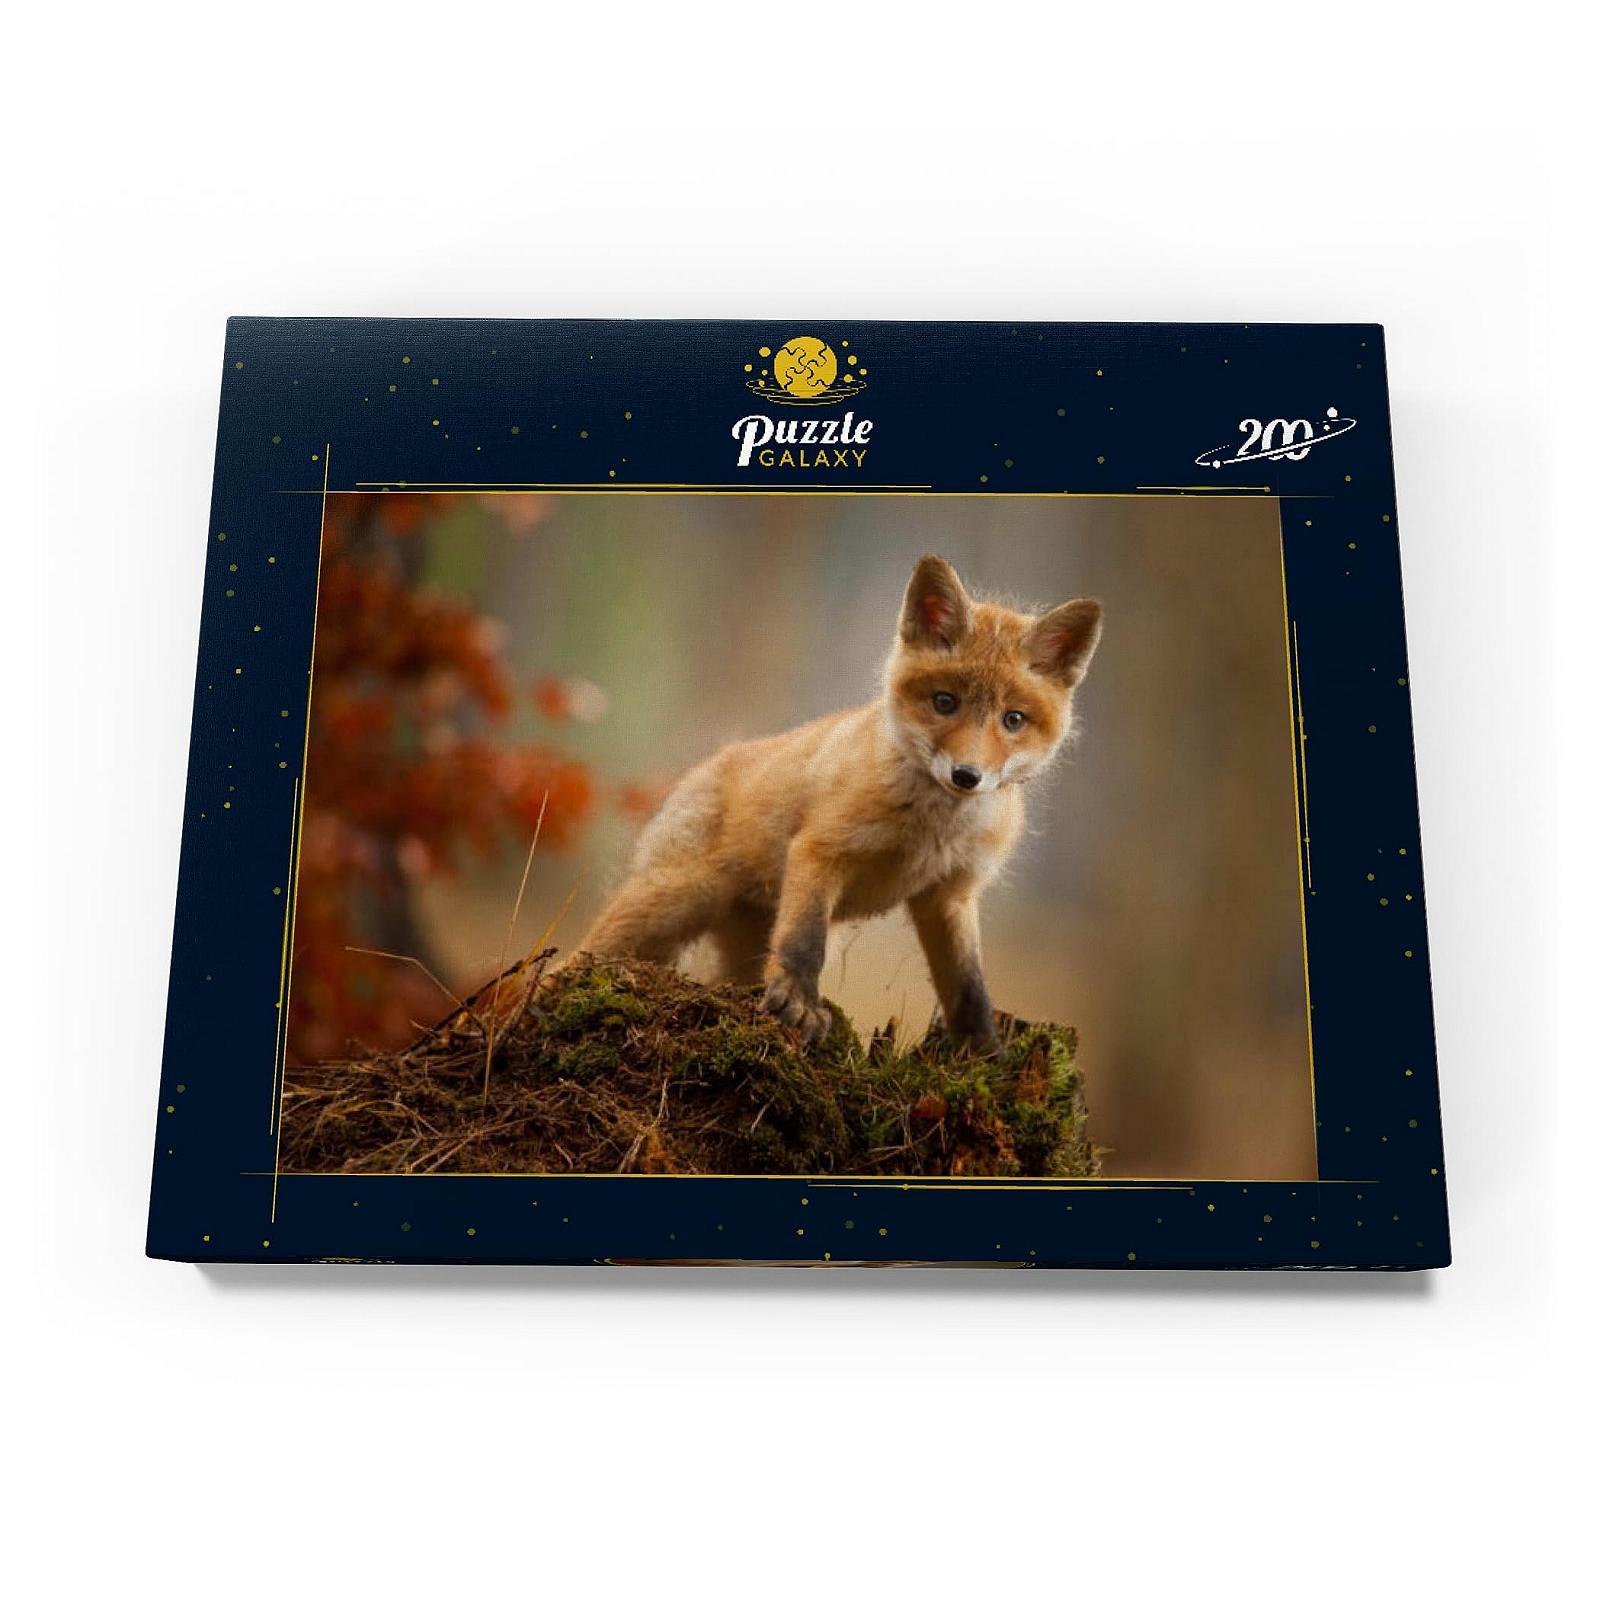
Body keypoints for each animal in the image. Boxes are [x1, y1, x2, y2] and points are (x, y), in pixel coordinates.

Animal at [576, 554, 1103, 1053]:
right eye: (945, 702)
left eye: (1013, 719)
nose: (966, 776)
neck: (931, 831)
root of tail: (707, 764)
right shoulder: (821, 850)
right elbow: (805, 942)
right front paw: (799, 1004)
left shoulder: (950, 894)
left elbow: (968, 986)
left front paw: (984, 1052)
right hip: (671, 903)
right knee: (582, 955)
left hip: (740, 947)